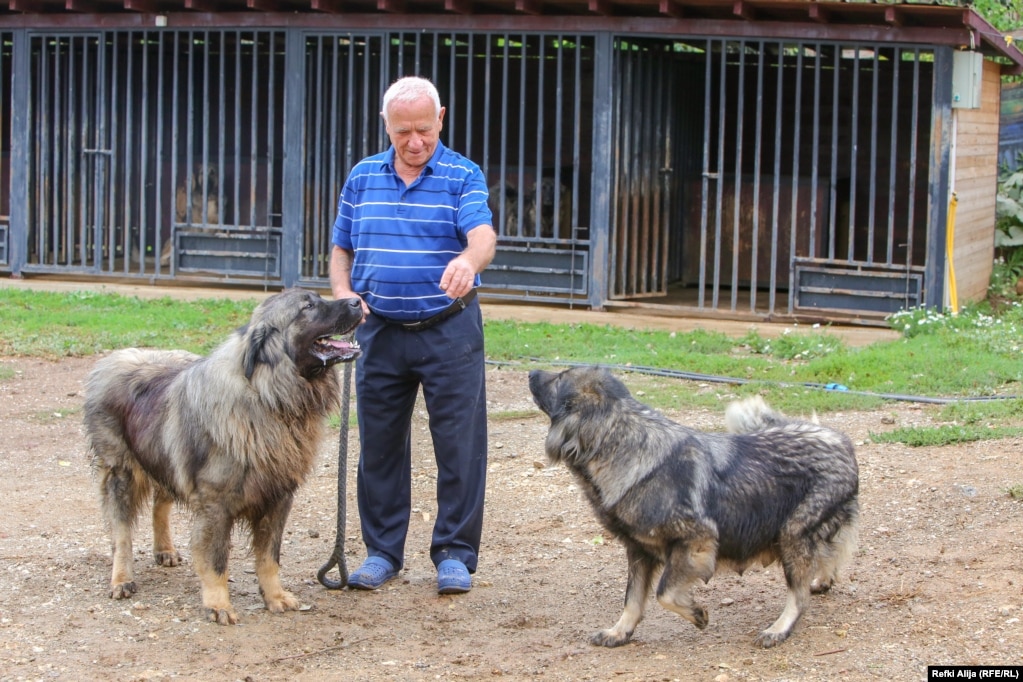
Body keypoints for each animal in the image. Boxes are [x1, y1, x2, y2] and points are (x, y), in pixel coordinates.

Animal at [83, 288, 364, 625]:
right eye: (308, 306)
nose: (358, 301)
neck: (269, 397)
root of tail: (114, 358)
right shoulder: (216, 505)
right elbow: (216, 560)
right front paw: (218, 604)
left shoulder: (278, 498)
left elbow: (269, 557)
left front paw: (275, 596)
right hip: (121, 471)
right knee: (121, 532)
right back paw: (122, 579)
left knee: (160, 503)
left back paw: (164, 550)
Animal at [527, 370, 855, 650]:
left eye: (559, 379)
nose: (531, 372)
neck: (623, 447)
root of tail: (839, 439)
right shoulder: (638, 550)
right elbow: (632, 599)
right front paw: (619, 632)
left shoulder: (696, 540)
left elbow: (664, 593)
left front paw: (696, 613)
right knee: (833, 550)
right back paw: (822, 580)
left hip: (792, 534)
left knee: (798, 595)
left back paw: (778, 629)